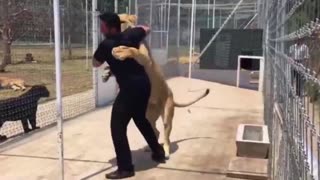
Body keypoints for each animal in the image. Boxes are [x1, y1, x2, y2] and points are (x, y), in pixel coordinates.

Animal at [104, 14, 211, 158]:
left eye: (120, 21)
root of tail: (172, 97)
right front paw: (106, 73)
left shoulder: (145, 59)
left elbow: (133, 51)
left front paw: (120, 51)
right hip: (148, 116)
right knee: (156, 131)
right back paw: (149, 148)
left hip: (166, 117)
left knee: (166, 137)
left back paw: (165, 151)